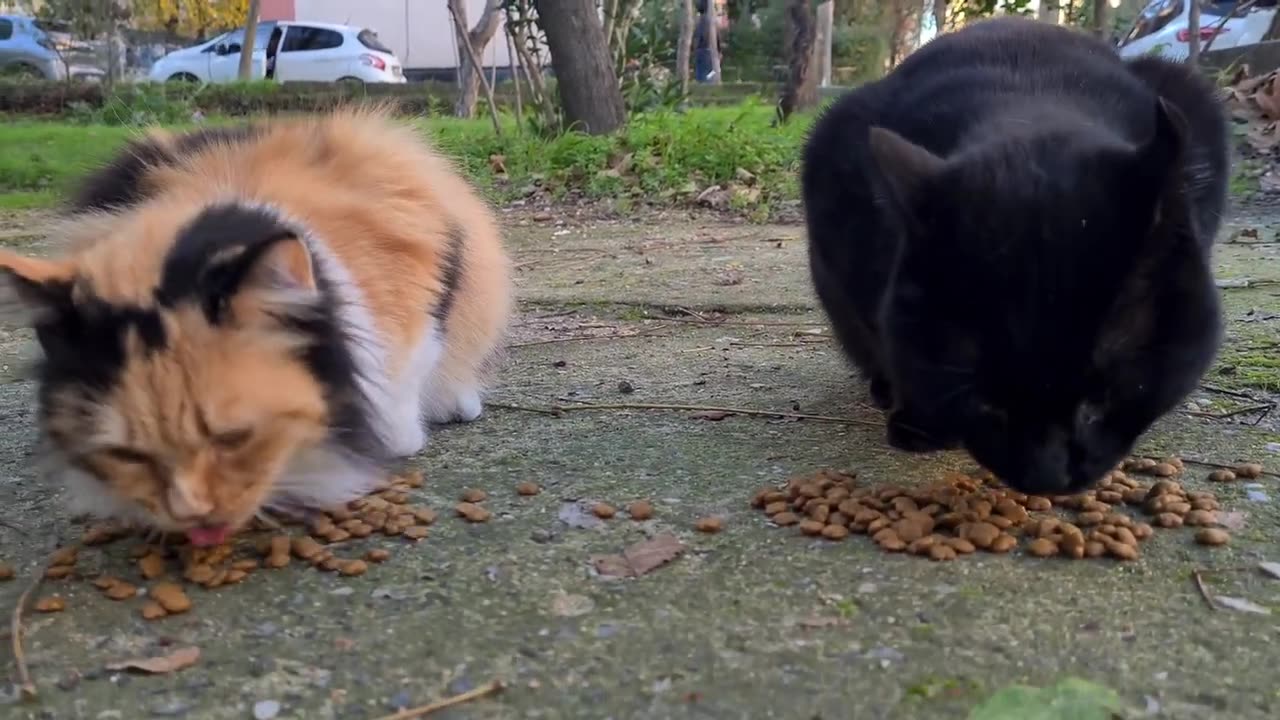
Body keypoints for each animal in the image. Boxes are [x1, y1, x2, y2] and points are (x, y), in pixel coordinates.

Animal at [0, 107, 509, 543]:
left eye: (233, 438)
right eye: (129, 455)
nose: (190, 513)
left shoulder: (430, 271)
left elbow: (408, 376)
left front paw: (393, 433)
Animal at [798, 19, 1228, 497]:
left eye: (1105, 396)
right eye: (985, 402)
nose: (1048, 477)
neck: (1027, 105)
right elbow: (883, 337)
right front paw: (918, 418)